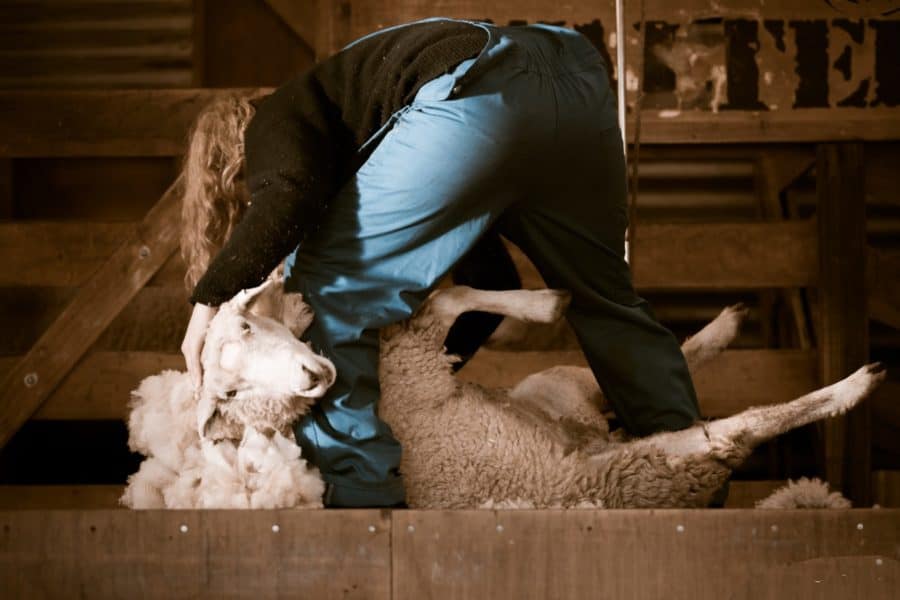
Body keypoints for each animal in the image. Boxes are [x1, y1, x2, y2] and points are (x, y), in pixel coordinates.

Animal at [121, 278, 884, 508]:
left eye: (249, 323)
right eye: (228, 389)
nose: (313, 378)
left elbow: (452, 296)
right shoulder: (418, 361)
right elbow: (446, 299)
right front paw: (545, 304)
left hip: (560, 393)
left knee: (617, 382)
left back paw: (725, 327)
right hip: (659, 464)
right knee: (740, 428)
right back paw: (855, 383)